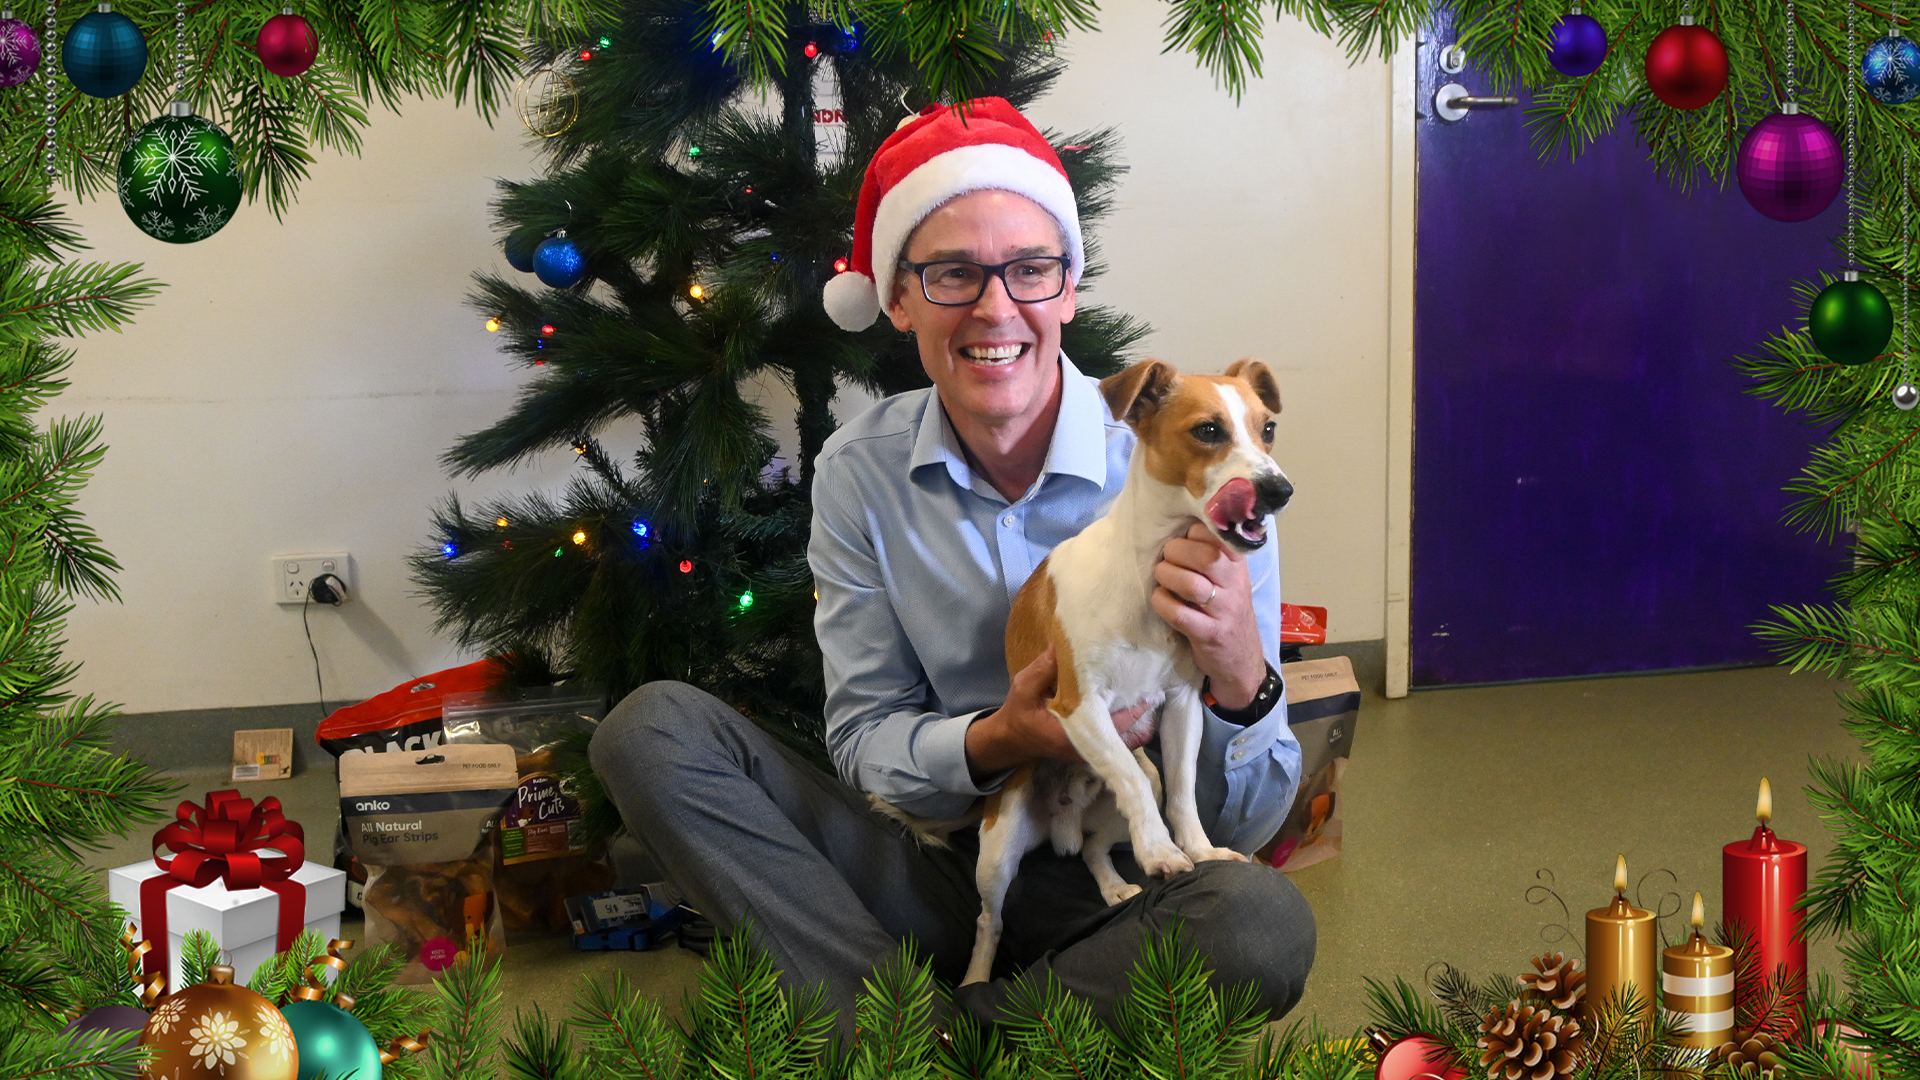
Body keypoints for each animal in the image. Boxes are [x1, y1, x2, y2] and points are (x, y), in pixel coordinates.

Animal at [956, 357, 1290, 980]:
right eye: (1209, 430)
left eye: (1269, 429)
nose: (1279, 491)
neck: (1146, 572)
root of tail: (1061, 820)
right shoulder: (1078, 707)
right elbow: (1130, 781)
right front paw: (1160, 851)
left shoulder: (1182, 706)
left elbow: (1181, 792)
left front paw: (1195, 850)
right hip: (999, 844)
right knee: (991, 919)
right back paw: (975, 978)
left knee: (1093, 846)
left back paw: (1114, 884)